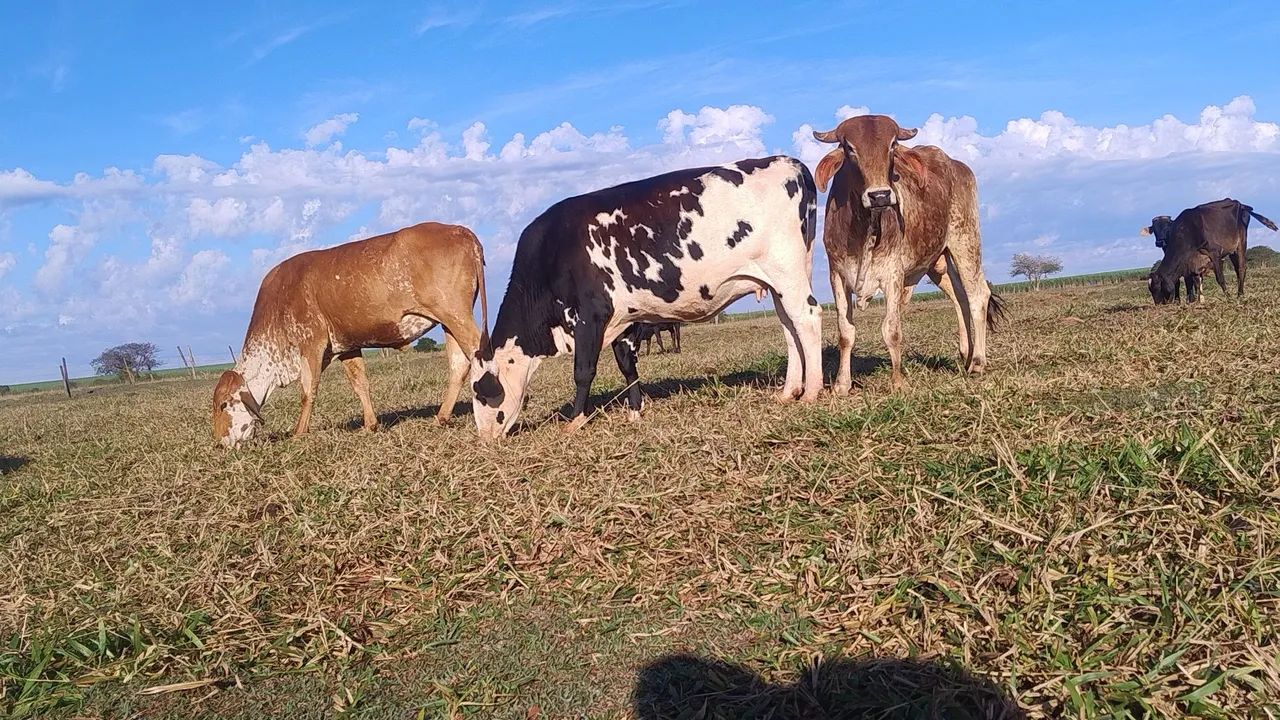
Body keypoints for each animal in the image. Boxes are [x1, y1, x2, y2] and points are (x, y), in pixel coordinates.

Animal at [212, 222, 487, 448]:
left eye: (223, 405)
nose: (220, 444)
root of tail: (461, 231)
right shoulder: (345, 345)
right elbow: (359, 383)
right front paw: (370, 424)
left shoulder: (311, 342)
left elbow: (308, 390)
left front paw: (299, 432)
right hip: (449, 321)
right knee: (459, 364)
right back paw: (441, 417)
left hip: (455, 313)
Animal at [470, 156, 822, 440]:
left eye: (479, 392)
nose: (484, 439)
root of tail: (790, 162)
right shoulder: (623, 319)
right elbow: (628, 366)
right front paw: (635, 411)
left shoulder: (590, 314)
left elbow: (583, 370)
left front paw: (576, 420)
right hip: (780, 280)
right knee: (790, 328)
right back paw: (789, 391)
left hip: (787, 271)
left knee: (807, 319)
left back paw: (812, 392)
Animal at [811, 114, 1004, 392]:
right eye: (849, 148)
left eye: (892, 145)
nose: (880, 195)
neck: (863, 229)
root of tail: (957, 165)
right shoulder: (837, 274)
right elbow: (846, 333)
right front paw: (841, 385)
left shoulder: (893, 275)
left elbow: (891, 330)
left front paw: (898, 382)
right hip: (938, 263)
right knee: (960, 298)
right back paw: (965, 355)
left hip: (966, 242)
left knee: (978, 294)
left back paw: (977, 362)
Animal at [1143, 198, 1277, 304]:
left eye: (1157, 287)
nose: (1159, 305)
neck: (1186, 232)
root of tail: (1240, 204)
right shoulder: (1192, 263)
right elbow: (1195, 282)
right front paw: (1197, 301)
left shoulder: (1215, 252)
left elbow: (1220, 278)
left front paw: (1228, 297)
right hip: (1232, 251)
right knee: (1237, 269)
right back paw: (1240, 293)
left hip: (1241, 242)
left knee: (1242, 267)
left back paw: (1239, 295)